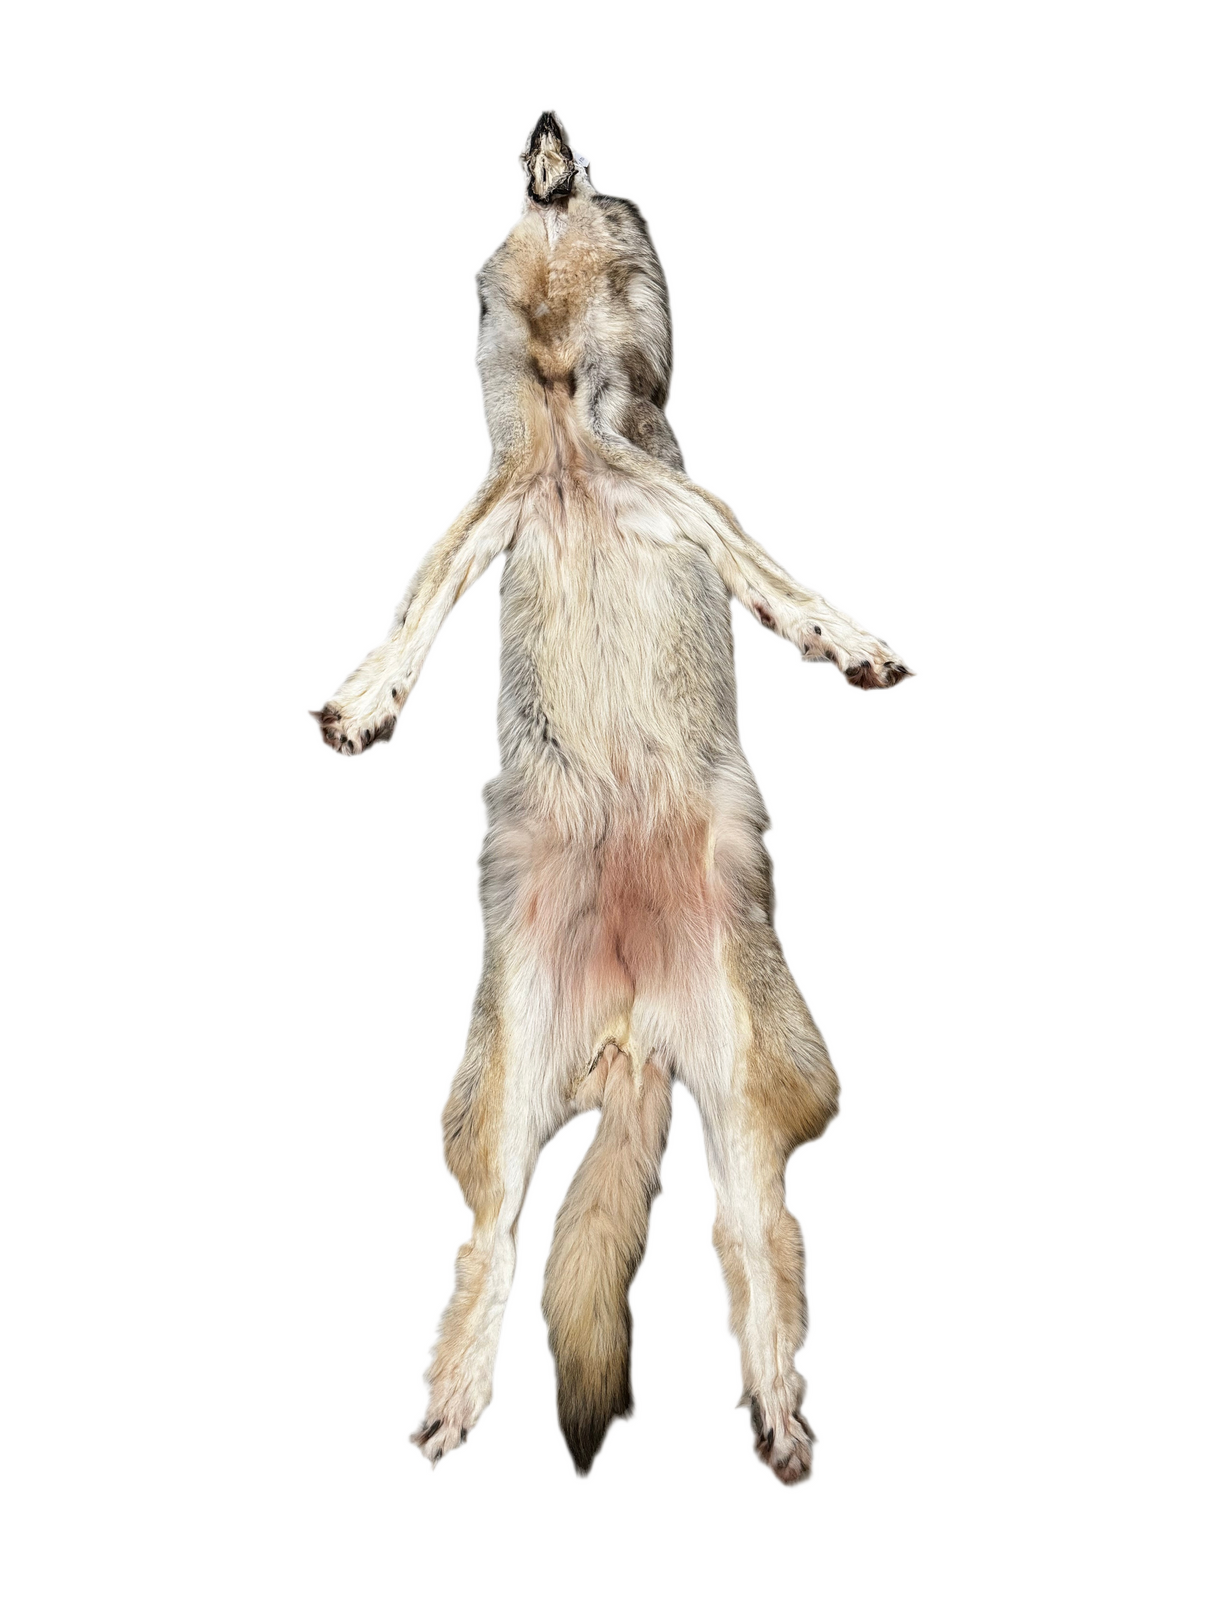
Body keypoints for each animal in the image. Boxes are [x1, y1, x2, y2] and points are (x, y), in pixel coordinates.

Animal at [315, 112, 910, 1483]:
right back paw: (456, 1398)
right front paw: (366, 698)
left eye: (618, 198)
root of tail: (637, 1037)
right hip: (505, 1095)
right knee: (495, 1242)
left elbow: (772, 571)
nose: (546, 128)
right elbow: (412, 606)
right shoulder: (495, 501)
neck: (569, 441)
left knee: (754, 1247)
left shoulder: (664, 487)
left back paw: (777, 1413)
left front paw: (847, 640)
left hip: (742, 1085)